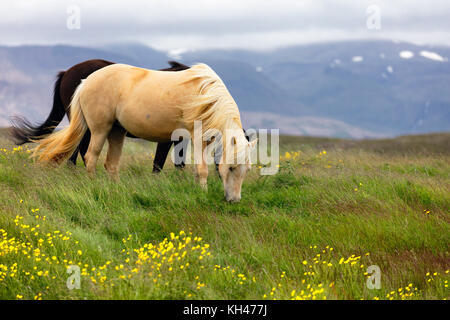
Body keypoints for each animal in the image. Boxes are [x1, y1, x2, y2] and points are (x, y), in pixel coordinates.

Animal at [31, 63, 256, 201]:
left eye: (247, 169)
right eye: (232, 168)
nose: (234, 200)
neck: (206, 96)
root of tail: (85, 81)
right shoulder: (196, 137)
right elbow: (201, 169)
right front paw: (203, 192)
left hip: (117, 132)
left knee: (111, 164)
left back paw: (117, 190)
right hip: (99, 130)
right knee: (90, 157)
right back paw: (94, 186)